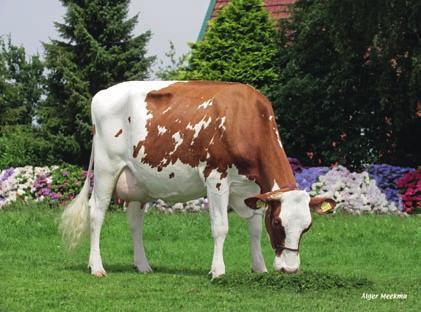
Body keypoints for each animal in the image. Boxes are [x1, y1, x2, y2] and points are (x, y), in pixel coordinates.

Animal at [60, 80, 334, 278]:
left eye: (307, 227)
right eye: (278, 223)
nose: (290, 269)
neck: (244, 119)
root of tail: (102, 93)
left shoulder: (250, 189)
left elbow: (255, 227)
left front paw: (259, 268)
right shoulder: (216, 178)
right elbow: (221, 227)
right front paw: (218, 271)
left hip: (138, 182)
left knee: (135, 222)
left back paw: (143, 265)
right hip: (107, 168)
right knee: (96, 213)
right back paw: (97, 267)